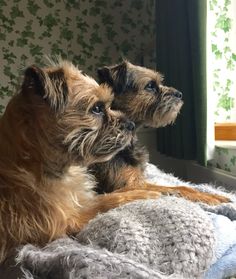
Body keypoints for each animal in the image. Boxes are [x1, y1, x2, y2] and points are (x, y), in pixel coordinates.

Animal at [0, 60, 162, 264]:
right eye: (97, 108)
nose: (131, 125)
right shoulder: (68, 222)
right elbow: (110, 201)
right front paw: (144, 194)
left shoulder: (84, 200)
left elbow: (109, 195)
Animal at [88, 61, 229, 205]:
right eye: (150, 86)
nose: (180, 94)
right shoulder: (130, 185)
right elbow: (174, 188)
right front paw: (208, 197)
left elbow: (184, 186)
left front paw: (211, 195)